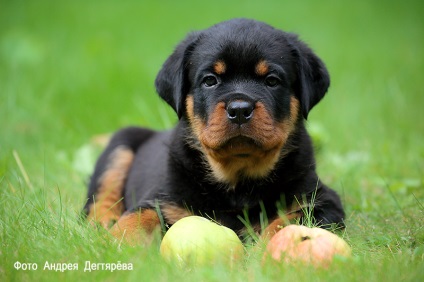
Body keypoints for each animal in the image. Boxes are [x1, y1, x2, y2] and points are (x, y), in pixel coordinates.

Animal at [82, 18, 344, 246]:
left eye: (271, 81)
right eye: (210, 80)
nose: (239, 109)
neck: (237, 179)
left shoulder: (321, 201)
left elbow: (287, 221)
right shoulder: (161, 199)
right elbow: (136, 218)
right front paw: (112, 245)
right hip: (121, 143)